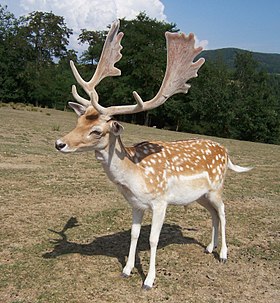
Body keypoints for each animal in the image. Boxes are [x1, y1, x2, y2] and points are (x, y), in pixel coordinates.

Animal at [54, 19, 252, 290]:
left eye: (96, 131)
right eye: (79, 121)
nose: (59, 143)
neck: (134, 177)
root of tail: (225, 151)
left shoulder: (160, 202)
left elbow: (153, 240)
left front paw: (148, 280)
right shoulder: (136, 204)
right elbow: (134, 234)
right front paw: (126, 270)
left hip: (216, 186)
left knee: (223, 211)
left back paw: (222, 254)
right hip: (200, 195)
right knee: (212, 213)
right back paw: (209, 248)